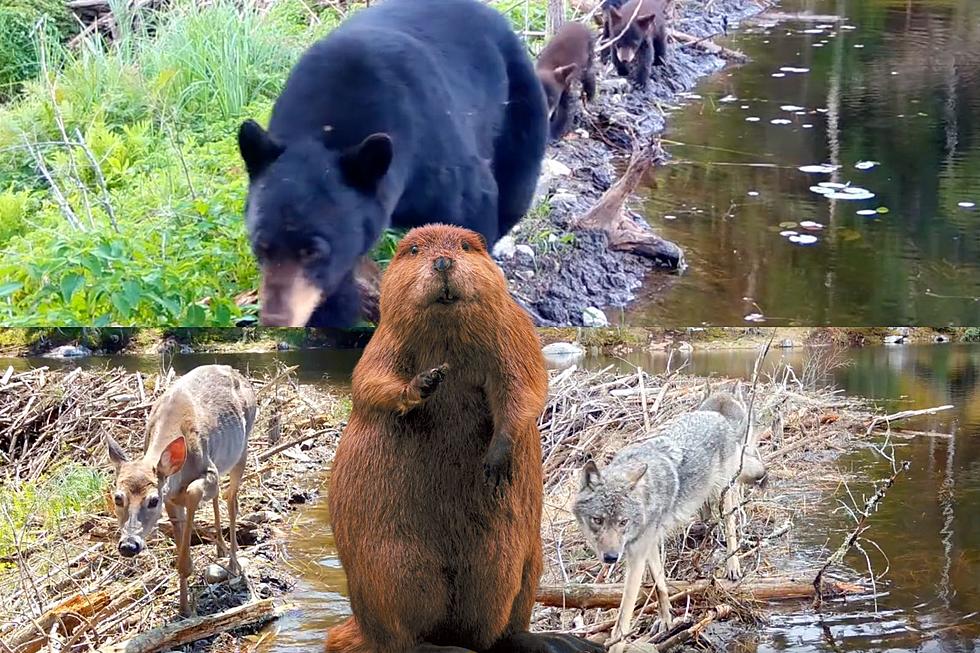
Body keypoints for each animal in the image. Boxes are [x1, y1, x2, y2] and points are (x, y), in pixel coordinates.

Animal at [106, 366, 256, 616]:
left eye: (153, 500)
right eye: (118, 498)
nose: (128, 545)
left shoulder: (209, 472)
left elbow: (195, 493)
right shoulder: (172, 499)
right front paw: (183, 607)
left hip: (243, 447)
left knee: (231, 498)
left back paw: (233, 563)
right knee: (220, 497)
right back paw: (220, 549)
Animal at [234, 0, 548, 326]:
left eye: (313, 251)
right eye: (261, 246)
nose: (276, 319)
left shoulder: (436, 154)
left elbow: (471, 209)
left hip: (520, 107)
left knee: (514, 190)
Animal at [330, 224, 600, 652]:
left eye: (465, 245)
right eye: (414, 249)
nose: (442, 262)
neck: (448, 334)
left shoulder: (513, 332)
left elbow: (525, 387)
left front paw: (495, 462)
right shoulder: (384, 341)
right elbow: (370, 383)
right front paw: (425, 382)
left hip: (523, 560)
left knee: (503, 624)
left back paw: (557, 641)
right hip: (391, 567)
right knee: (403, 637)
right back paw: (443, 646)